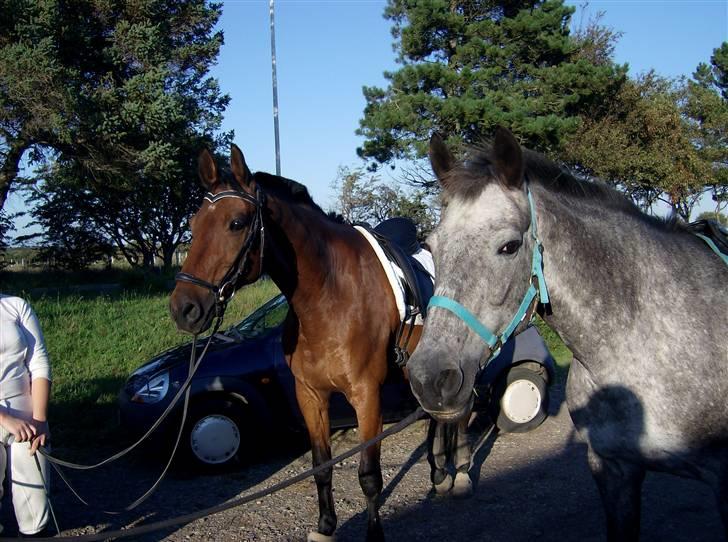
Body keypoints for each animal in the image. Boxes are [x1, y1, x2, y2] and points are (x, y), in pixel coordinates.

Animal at [168, 147, 470, 540]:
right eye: (192, 224)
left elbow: (369, 476)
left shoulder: (366, 396)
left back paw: (459, 474)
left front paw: (374, 533)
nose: (184, 308)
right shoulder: (310, 395)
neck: (331, 296)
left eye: (236, 223)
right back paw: (438, 474)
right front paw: (326, 526)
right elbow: (321, 465)